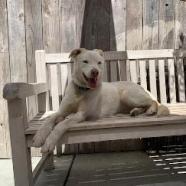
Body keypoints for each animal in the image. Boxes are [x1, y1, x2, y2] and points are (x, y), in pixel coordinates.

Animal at [32, 48, 169, 153]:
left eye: (99, 63)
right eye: (85, 61)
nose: (95, 72)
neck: (81, 91)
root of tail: (140, 86)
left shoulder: (81, 115)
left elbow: (60, 125)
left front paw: (49, 143)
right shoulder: (61, 112)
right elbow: (48, 120)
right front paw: (39, 137)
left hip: (128, 95)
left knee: (154, 102)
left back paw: (151, 110)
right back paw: (136, 111)